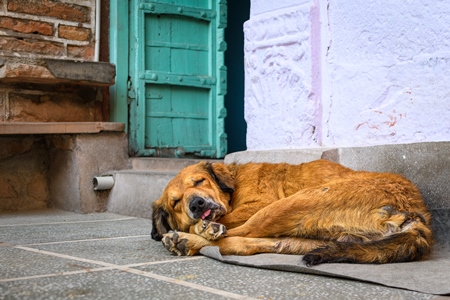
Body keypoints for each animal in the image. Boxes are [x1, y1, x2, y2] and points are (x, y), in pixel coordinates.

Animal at [150, 159, 432, 264]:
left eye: (199, 182)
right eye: (175, 202)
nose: (196, 204)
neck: (235, 181)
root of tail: (414, 214)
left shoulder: (257, 204)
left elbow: (223, 221)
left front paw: (201, 226)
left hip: (288, 204)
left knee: (235, 235)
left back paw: (198, 233)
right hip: (304, 236)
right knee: (239, 244)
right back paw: (187, 241)